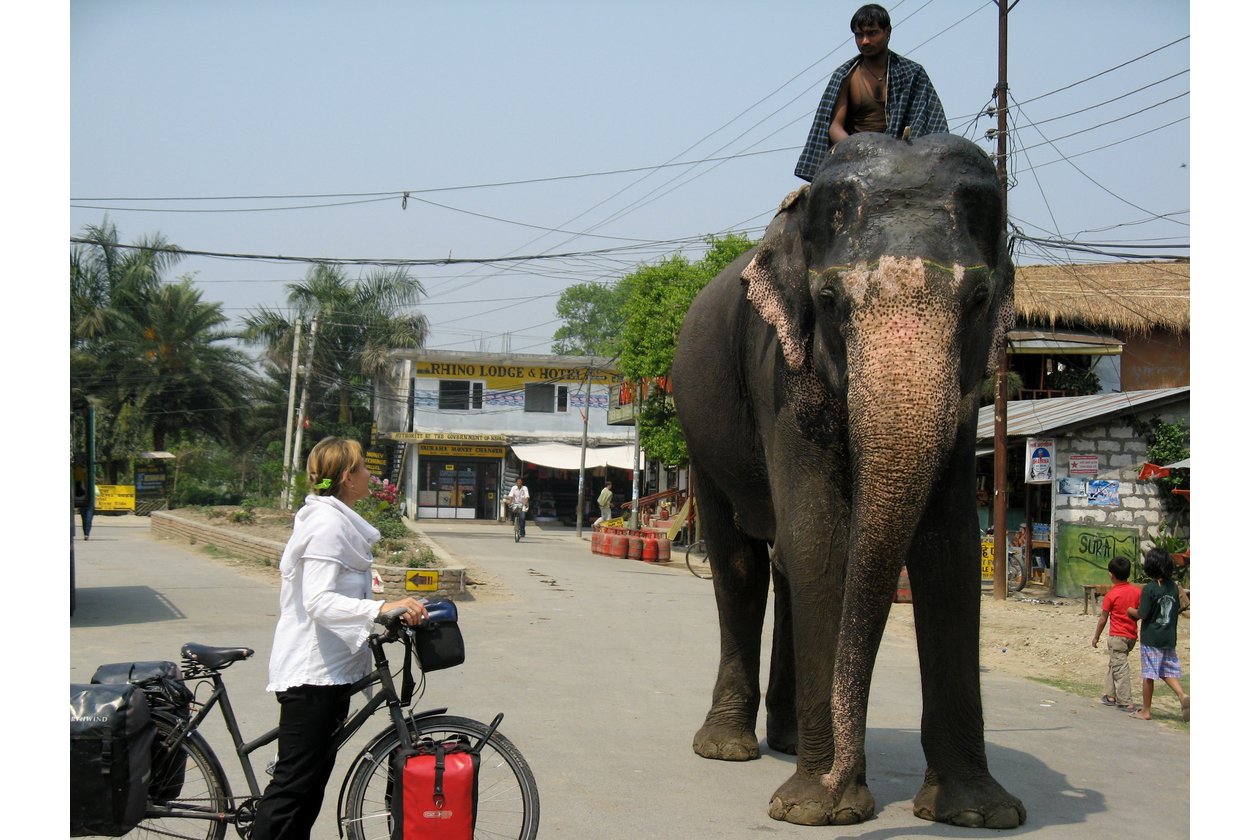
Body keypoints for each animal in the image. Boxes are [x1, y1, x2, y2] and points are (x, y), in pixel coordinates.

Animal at [680, 131, 1023, 826]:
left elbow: (948, 551)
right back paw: (727, 748)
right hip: (703, 434)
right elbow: (824, 542)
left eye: (978, 302)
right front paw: (818, 810)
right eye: (831, 302)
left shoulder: (966, 401)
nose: (842, 776)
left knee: (782, 563)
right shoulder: (782, 378)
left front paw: (978, 813)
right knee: (741, 562)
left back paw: (786, 742)